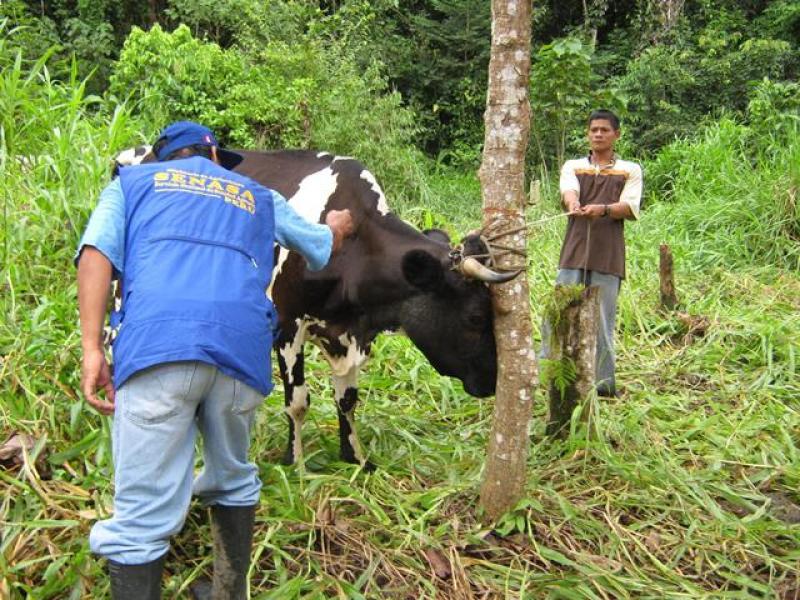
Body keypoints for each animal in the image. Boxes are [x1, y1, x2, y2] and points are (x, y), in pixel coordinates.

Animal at [112, 145, 520, 468]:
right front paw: (294, 464)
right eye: (475, 316)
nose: (493, 380)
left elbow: (348, 400)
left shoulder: (351, 333)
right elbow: (298, 402)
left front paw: (355, 459)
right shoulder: (287, 326)